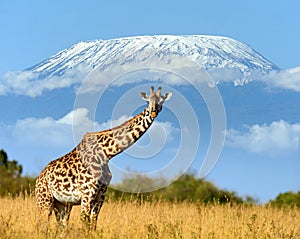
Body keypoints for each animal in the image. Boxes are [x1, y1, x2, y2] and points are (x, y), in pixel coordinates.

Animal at [34, 86, 171, 232]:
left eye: (162, 101)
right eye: (147, 101)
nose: (154, 112)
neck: (106, 154)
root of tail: (38, 178)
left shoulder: (101, 194)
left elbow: (93, 223)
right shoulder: (87, 194)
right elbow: (85, 222)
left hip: (63, 204)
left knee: (61, 227)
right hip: (44, 200)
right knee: (42, 225)